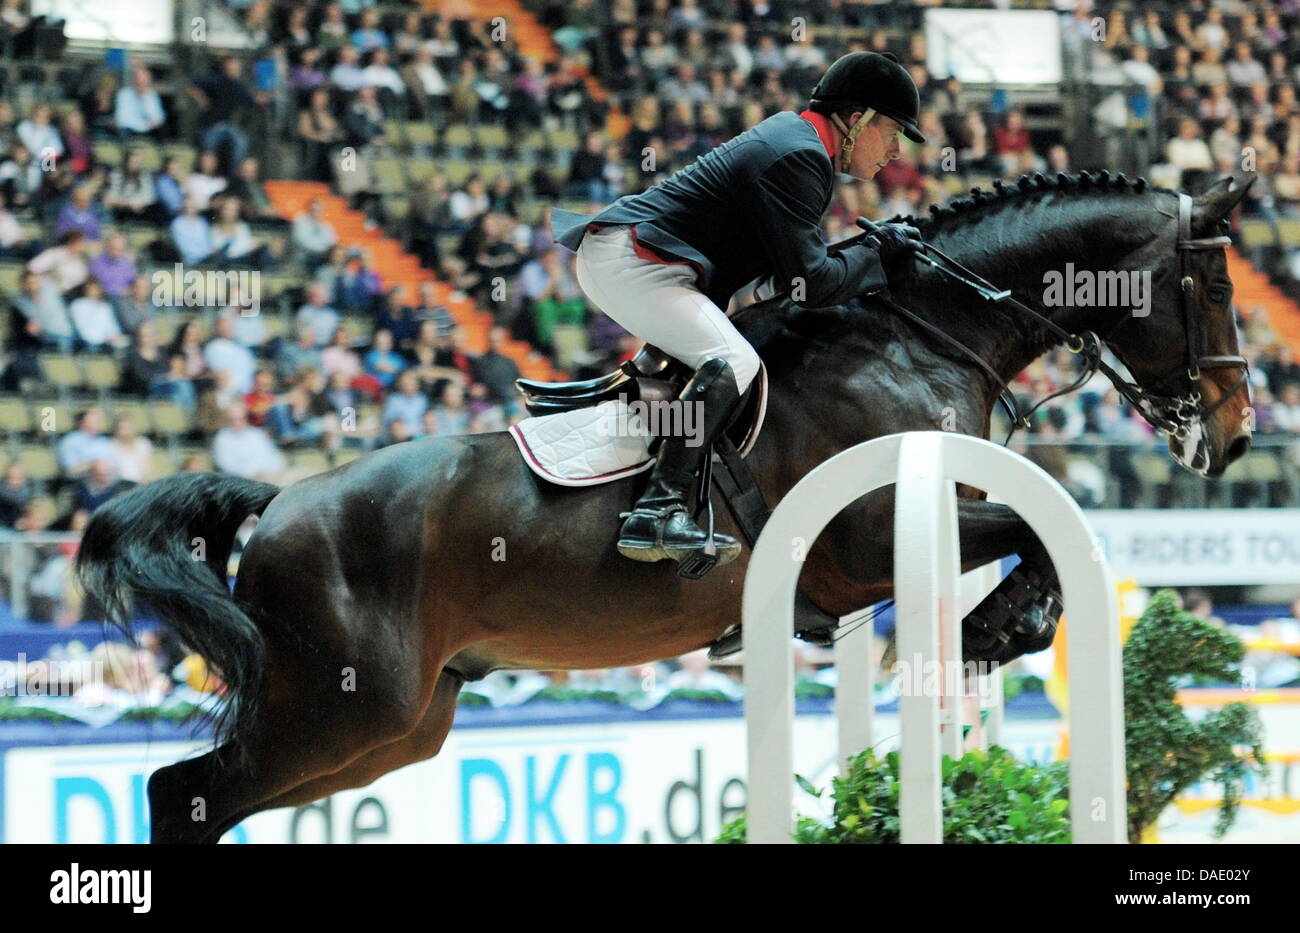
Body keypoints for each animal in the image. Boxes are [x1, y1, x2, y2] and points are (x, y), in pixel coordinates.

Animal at [76, 171, 1253, 842]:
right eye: (1213, 287)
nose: (1237, 436)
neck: (917, 331)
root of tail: (280, 502)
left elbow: (1035, 544)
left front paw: (993, 630)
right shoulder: (868, 541)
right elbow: (1039, 541)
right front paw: (1002, 625)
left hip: (396, 727)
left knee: (202, 798)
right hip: (334, 708)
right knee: (183, 798)